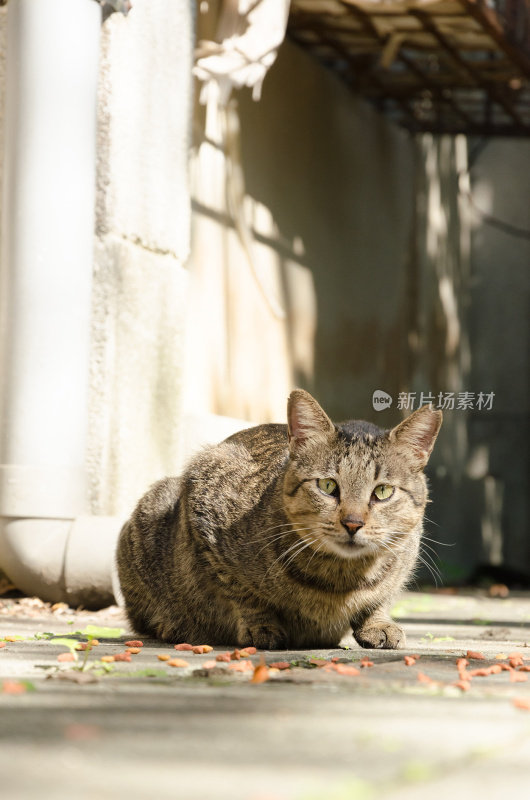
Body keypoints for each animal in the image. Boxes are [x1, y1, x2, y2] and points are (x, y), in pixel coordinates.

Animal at [116, 392, 442, 648]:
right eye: (327, 486)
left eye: (383, 491)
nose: (353, 523)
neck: (340, 581)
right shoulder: (204, 507)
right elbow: (241, 592)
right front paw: (261, 626)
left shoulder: (407, 552)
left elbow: (382, 596)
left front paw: (378, 622)